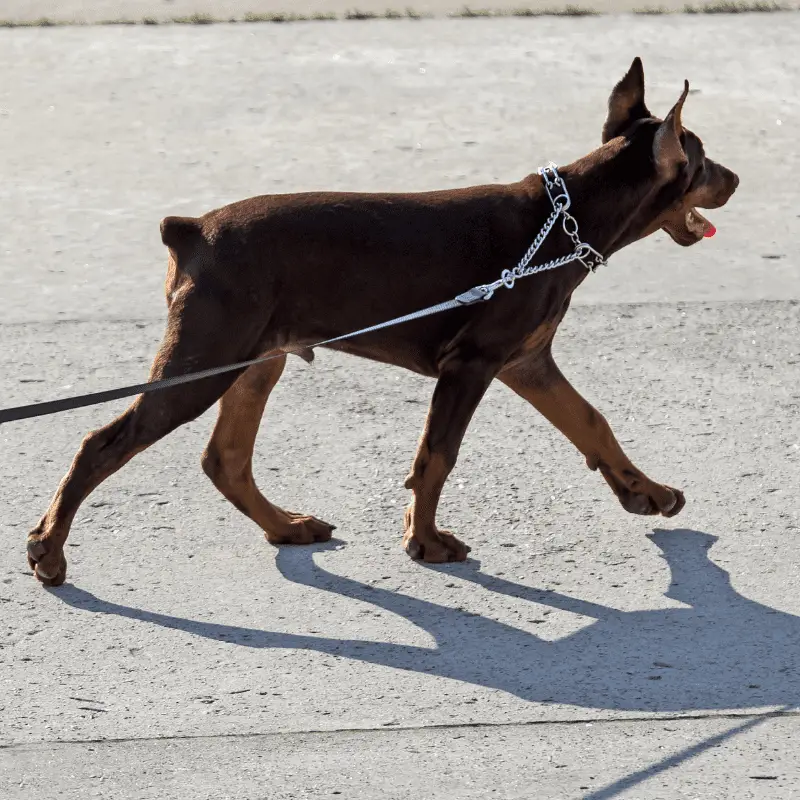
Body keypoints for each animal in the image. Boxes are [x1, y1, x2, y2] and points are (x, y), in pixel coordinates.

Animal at [25, 54, 736, 580]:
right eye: (702, 159)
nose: (735, 179)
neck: (567, 219)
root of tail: (192, 229)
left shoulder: (526, 362)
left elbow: (591, 421)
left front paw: (645, 492)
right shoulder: (472, 363)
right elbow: (438, 454)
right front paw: (426, 542)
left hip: (256, 359)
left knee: (224, 458)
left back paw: (286, 527)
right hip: (206, 358)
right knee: (102, 443)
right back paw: (49, 550)